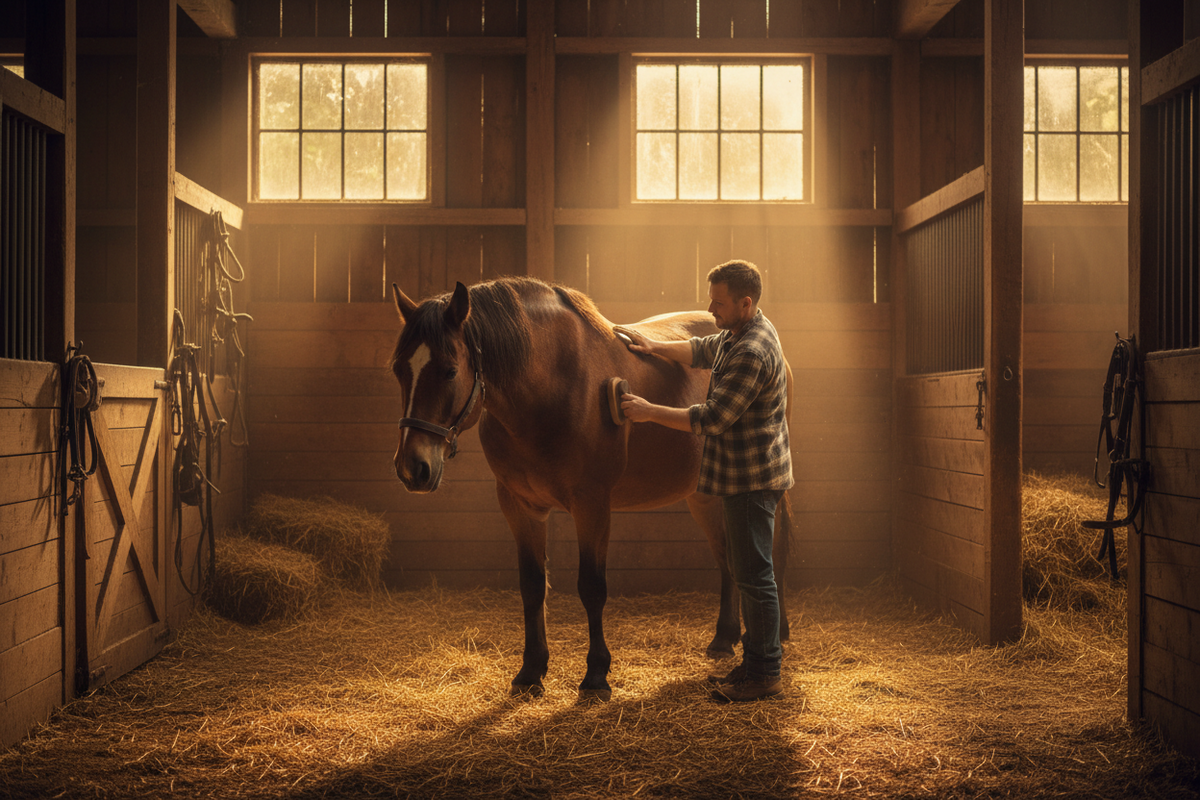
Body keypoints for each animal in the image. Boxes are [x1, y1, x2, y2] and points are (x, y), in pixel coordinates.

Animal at [389, 276, 792, 701]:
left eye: (450, 371)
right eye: (399, 369)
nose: (412, 468)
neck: (552, 385)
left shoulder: (592, 505)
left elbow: (592, 587)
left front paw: (596, 675)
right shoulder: (520, 507)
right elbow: (532, 586)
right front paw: (530, 672)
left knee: (772, 552)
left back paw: (777, 634)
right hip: (704, 496)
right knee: (727, 557)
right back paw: (723, 639)